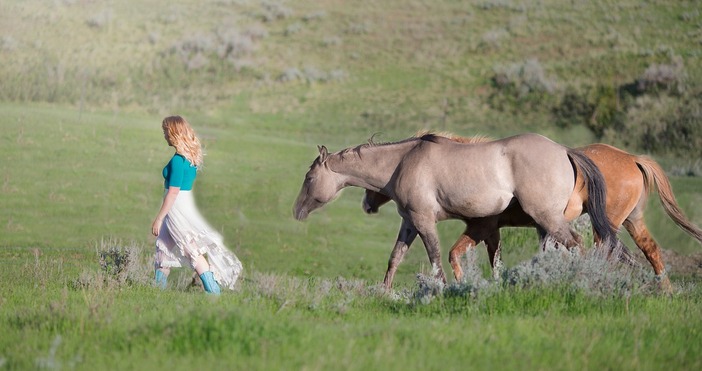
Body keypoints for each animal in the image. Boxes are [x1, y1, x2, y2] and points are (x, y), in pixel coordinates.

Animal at [294, 132, 620, 290]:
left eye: (309, 178)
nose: (297, 211)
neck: (404, 162)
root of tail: (565, 150)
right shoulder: (410, 223)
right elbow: (395, 258)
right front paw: (384, 292)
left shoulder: (425, 221)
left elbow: (436, 257)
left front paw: (442, 290)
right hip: (545, 223)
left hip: (548, 219)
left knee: (577, 246)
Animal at [364, 138, 702, 292]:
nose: (367, 204)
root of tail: (632, 158)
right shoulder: (492, 229)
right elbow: (494, 259)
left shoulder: (483, 225)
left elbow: (460, 254)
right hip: (631, 220)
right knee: (650, 250)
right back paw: (665, 291)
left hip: (605, 225)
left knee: (604, 252)